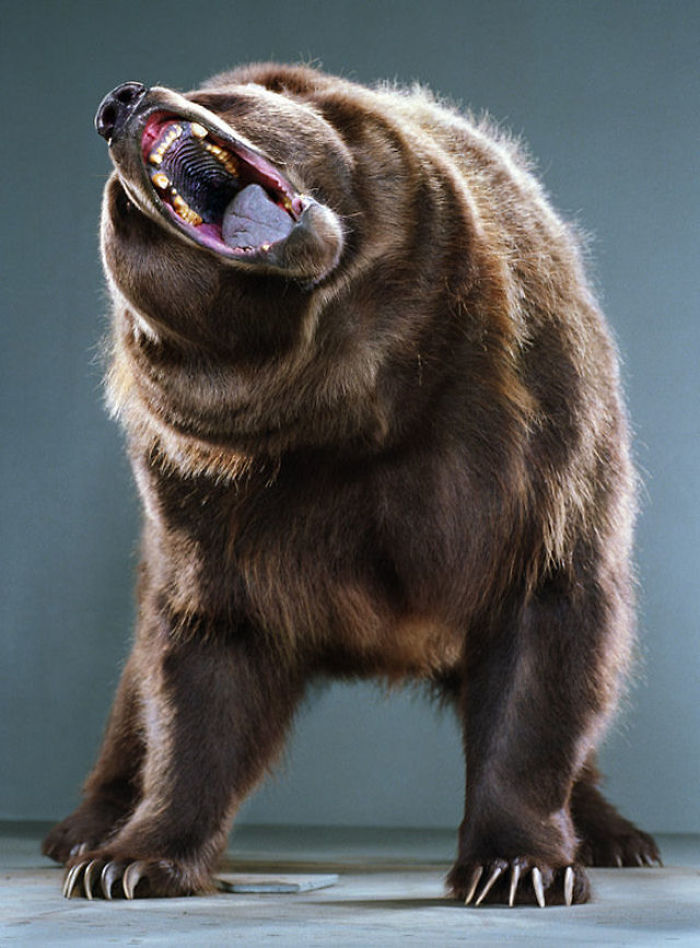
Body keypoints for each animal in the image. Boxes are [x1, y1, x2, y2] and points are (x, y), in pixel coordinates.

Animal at [43, 63, 660, 906]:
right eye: (119, 213)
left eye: (221, 99)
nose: (118, 104)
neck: (353, 383)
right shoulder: (217, 504)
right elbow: (203, 672)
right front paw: (128, 860)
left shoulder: (529, 450)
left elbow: (544, 649)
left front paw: (517, 867)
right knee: (134, 693)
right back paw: (82, 830)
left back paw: (617, 833)